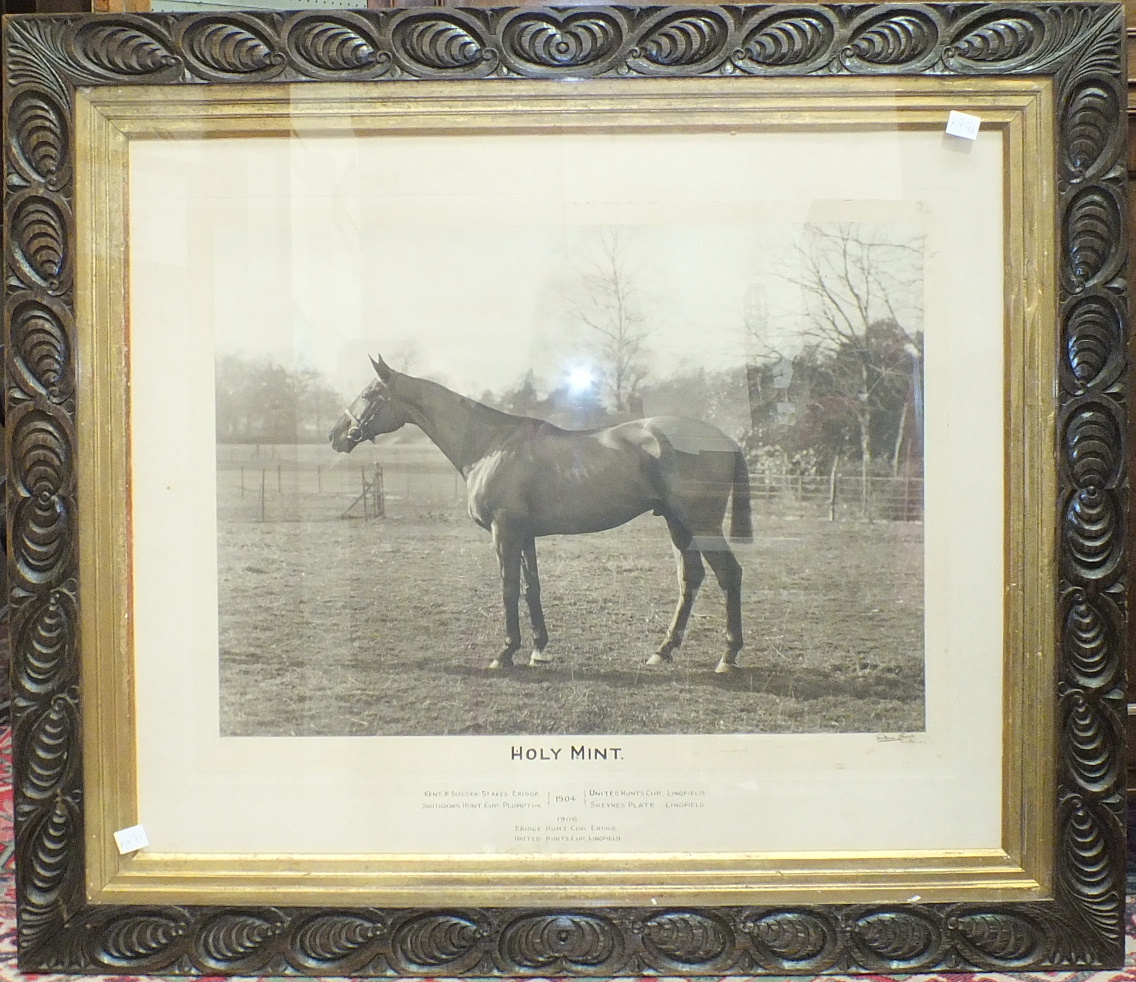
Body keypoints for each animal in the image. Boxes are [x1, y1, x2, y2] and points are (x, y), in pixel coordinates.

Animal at [331, 356, 749, 672]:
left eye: (369, 394)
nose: (335, 435)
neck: (490, 445)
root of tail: (725, 438)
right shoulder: (525, 535)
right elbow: (532, 587)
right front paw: (538, 649)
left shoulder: (504, 533)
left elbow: (509, 587)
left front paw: (505, 652)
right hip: (678, 524)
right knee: (690, 579)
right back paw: (663, 651)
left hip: (702, 524)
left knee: (729, 574)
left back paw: (728, 657)